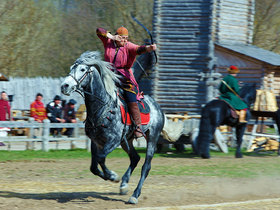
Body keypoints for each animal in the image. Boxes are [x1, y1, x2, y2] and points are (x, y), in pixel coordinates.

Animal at [60, 50, 163, 203]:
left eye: (83, 69)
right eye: (72, 67)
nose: (65, 86)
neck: (102, 108)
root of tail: (157, 107)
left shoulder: (113, 141)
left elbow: (100, 158)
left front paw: (113, 176)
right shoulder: (96, 142)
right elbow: (94, 167)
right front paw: (112, 177)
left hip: (152, 138)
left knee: (146, 166)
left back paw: (134, 195)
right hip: (127, 141)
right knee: (135, 158)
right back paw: (124, 185)